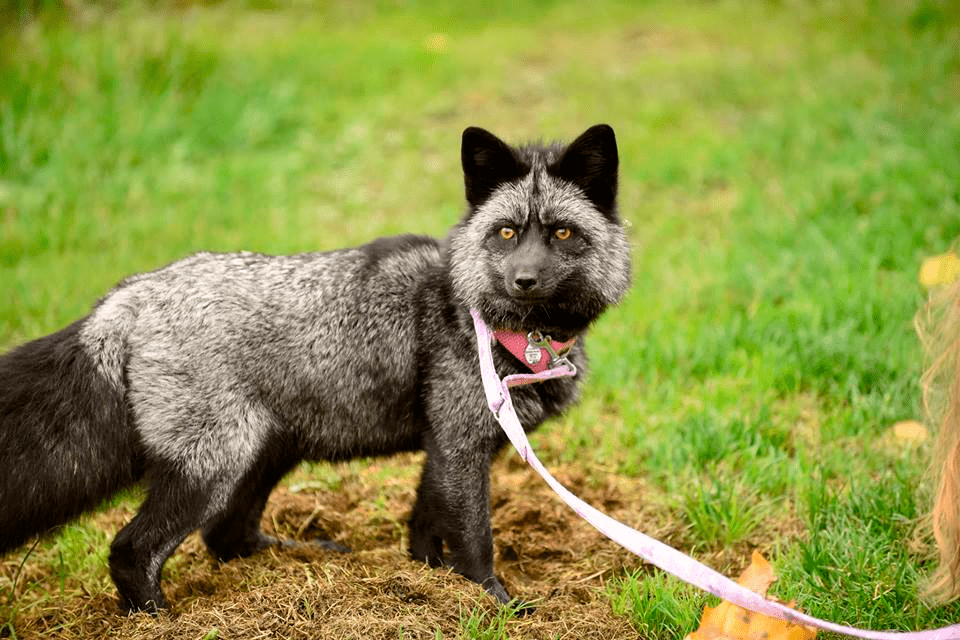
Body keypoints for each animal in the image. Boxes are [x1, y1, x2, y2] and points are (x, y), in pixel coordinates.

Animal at [0, 124, 632, 608]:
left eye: (562, 232)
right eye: (506, 232)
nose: (524, 280)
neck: (501, 326)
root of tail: (128, 295)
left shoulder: (446, 444)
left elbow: (426, 529)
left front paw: (427, 586)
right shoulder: (459, 442)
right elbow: (473, 539)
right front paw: (495, 604)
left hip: (268, 448)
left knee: (224, 536)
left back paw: (292, 556)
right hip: (213, 462)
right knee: (133, 549)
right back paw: (158, 619)